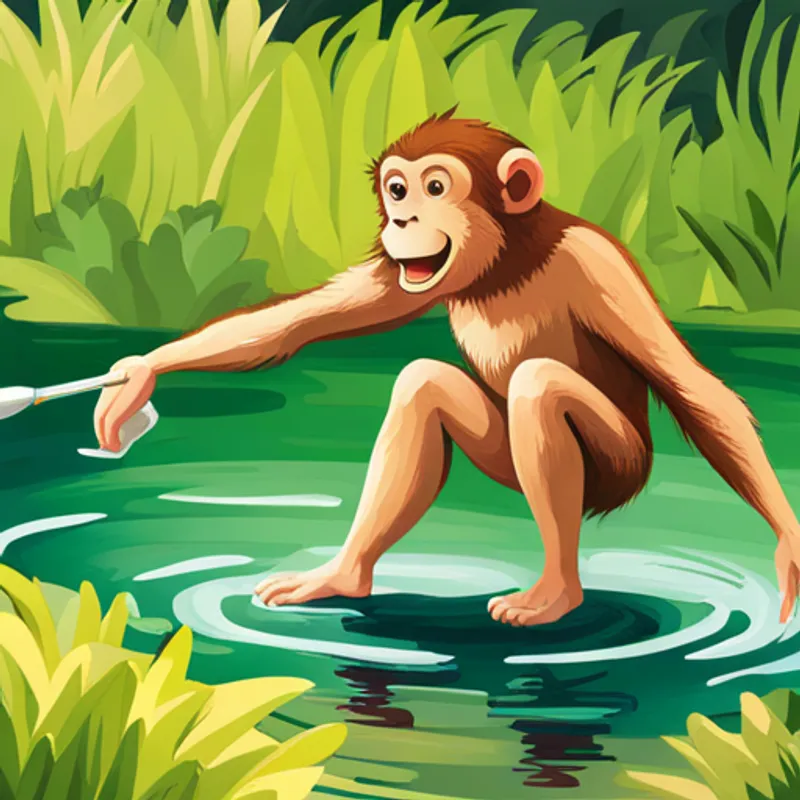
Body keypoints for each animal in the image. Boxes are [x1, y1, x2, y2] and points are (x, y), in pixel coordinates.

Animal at [94, 110, 800, 627]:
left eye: (435, 187)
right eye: (396, 189)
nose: (403, 217)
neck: (508, 262)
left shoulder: (599, 266)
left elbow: (691, 386)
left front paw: (790, 548)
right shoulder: (401, 273)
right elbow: (297, 322)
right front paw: (138, 373)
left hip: (621, 468)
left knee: (539, 389)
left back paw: (555, 594)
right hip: (507, 460)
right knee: (423, 386)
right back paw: (343, 578)